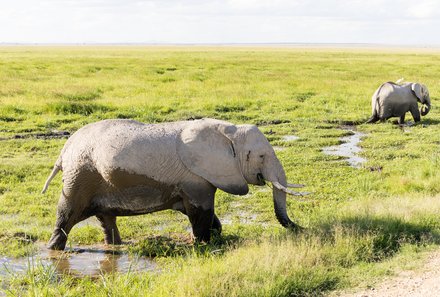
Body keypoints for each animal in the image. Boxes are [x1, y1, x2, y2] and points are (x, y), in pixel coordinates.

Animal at [42, 118, 306, 250]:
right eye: (260, 156)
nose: (302, 229)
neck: (229, 131)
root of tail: (64, 149)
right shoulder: (195, 176)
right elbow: (201, 210)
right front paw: (203, 245)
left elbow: (198, 211)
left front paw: (215, 236)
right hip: (80, 175)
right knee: (67, 213)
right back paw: (54, 250)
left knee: (105, 217)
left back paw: (115, 247)